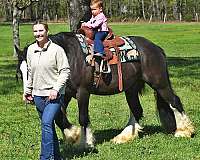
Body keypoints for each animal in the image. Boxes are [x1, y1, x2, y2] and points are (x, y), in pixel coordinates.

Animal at [16, 31, 195, 149]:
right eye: (21, 72)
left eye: (31, 69)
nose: (28, 97)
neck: (69, 56)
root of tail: (156, 48)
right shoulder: (64, 94)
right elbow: (59, 117)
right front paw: (72, 136)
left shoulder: (82, 92)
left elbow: (83, 117)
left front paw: (86, 142)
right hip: (131, 88)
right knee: (137, 110)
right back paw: (124, 136)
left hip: (159, 83)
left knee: (174, 102)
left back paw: (184, 131)